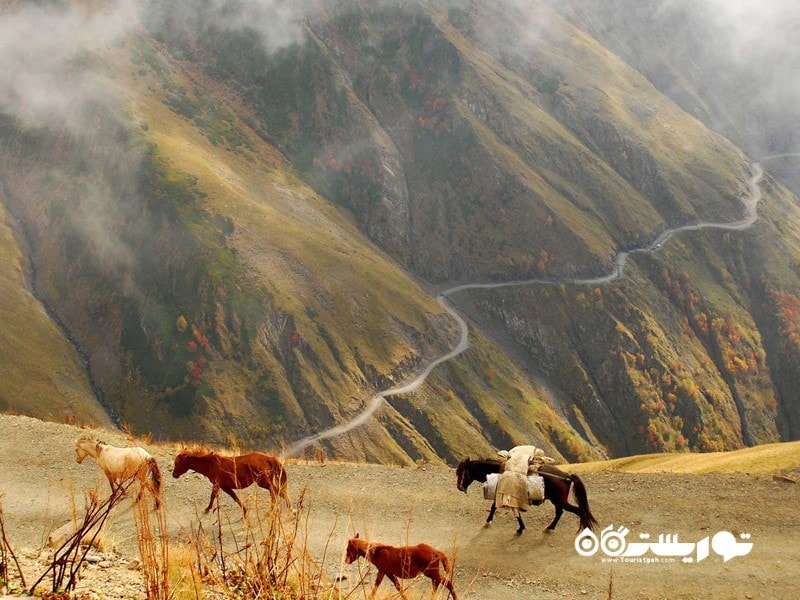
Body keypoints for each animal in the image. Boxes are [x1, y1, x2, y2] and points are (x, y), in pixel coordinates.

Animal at [454, 458, 596, 532]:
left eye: (462, 472)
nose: (459, 487)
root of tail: (566, 476)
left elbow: (495, 507)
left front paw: (488, 521)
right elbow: (508, 511)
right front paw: (521, 527)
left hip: (559, 500)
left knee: (577, 511)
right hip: (556, 500)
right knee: (560, 512)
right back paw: (550, 527)